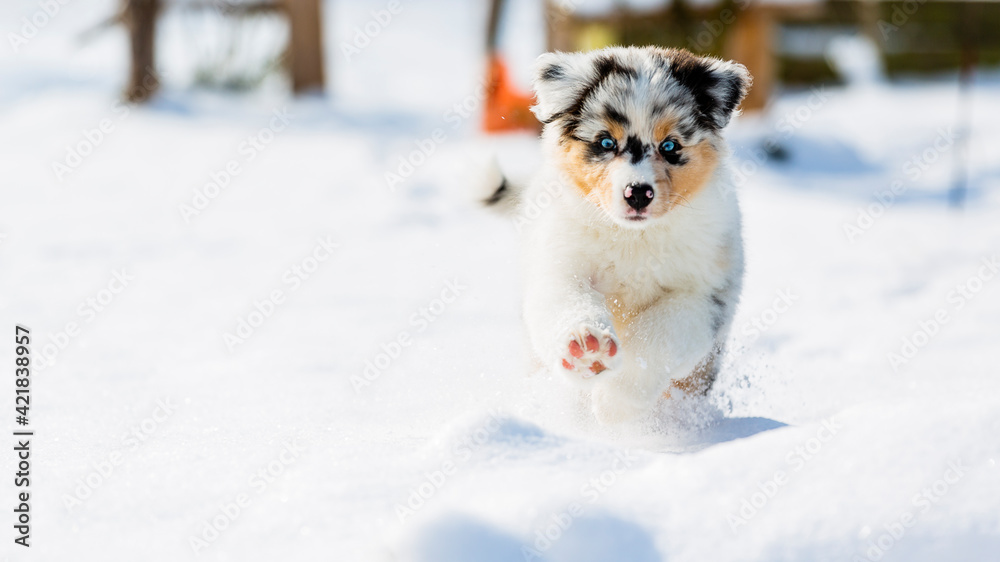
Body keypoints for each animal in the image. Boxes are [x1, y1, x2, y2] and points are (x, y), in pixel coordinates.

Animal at [484, 47, 752, 420]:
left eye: (670, 146)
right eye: (606, 142)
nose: (637, 193)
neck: (632, 238)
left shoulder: (703, 294)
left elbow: (659, 336)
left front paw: (615, 401)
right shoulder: (560, 265)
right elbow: (567, 301)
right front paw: (587, 349)